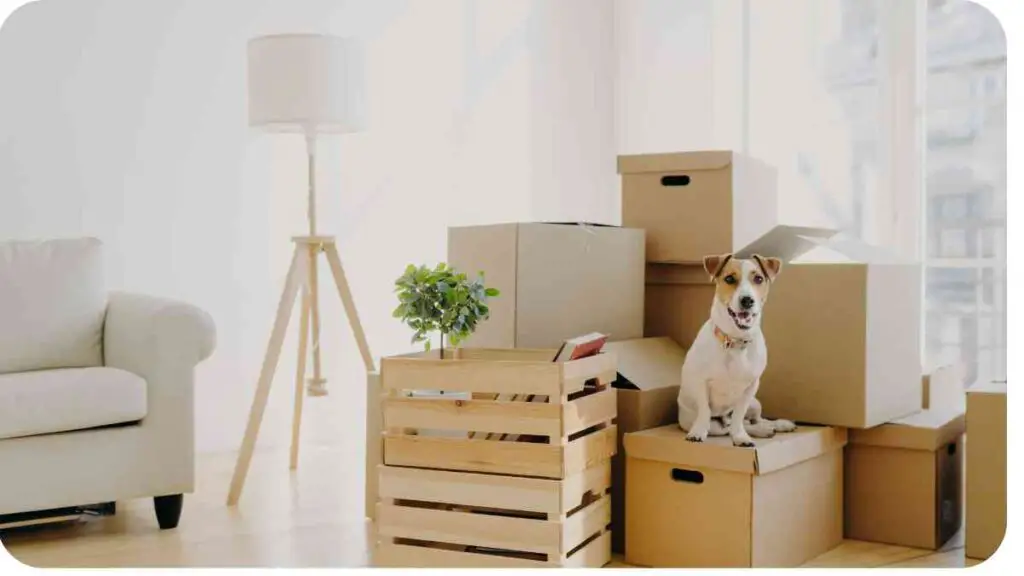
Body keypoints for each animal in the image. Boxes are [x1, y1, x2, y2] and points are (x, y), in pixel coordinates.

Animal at [679, 251, 798, 444]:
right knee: (727, 427)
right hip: (711, 424)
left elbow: (739, 415)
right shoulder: (700, 382)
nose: (747, 300)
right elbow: (704, 410)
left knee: (753, 420)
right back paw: (763, 430)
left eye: (758, 278)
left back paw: (775, 425)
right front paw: (698, 432)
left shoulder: (751, 387)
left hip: (755, 403)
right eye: (729, 278)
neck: (735, 341)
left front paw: (741, 436)